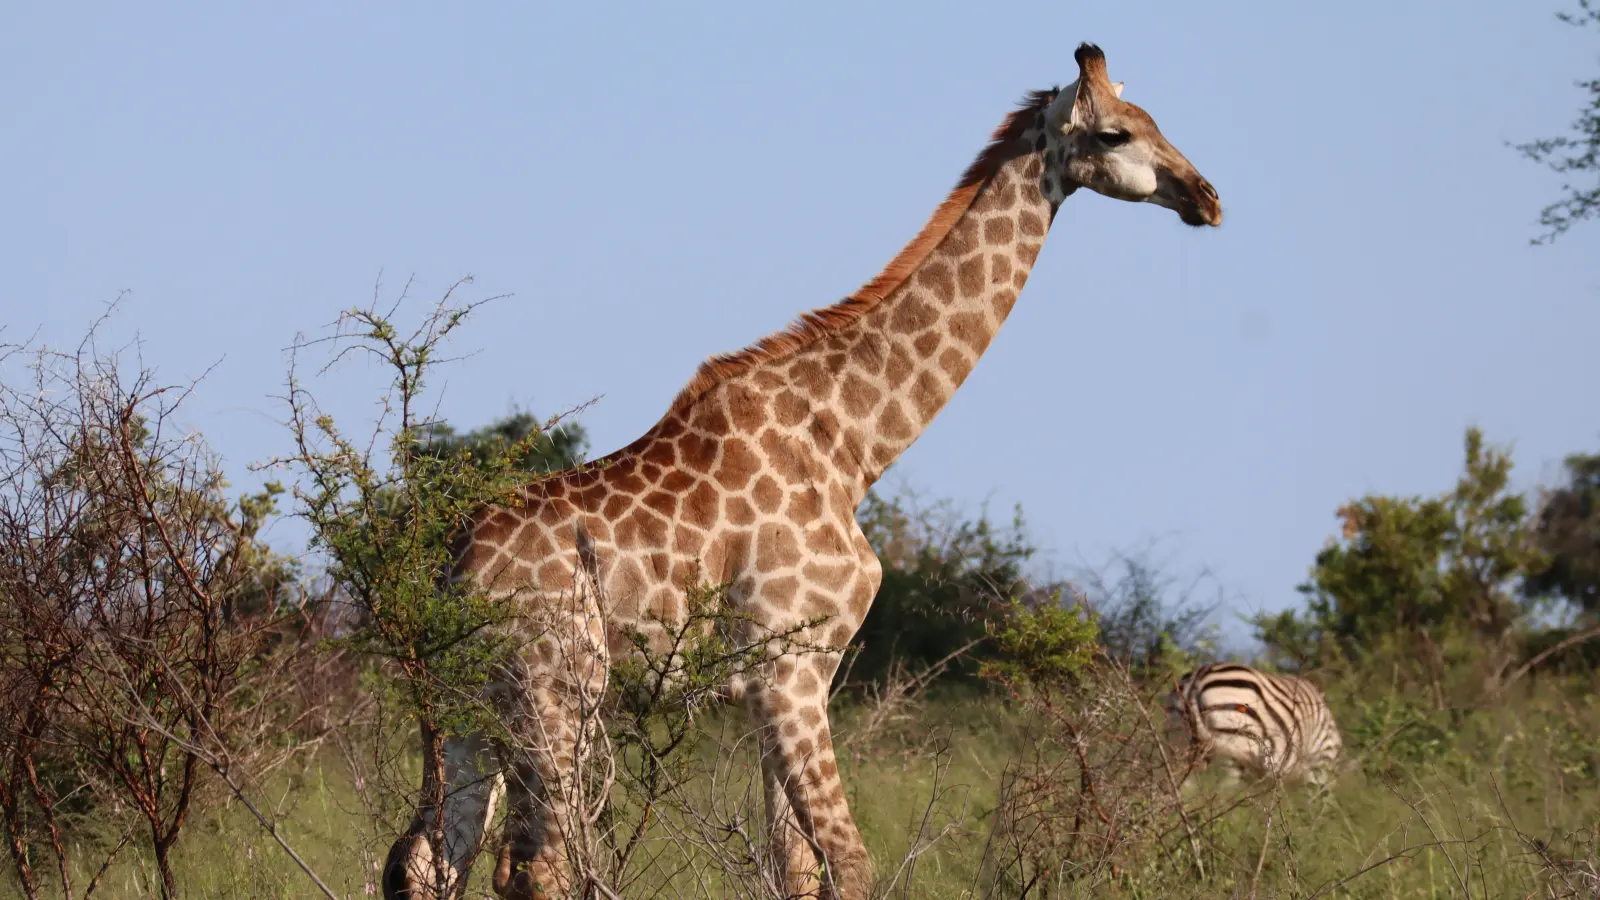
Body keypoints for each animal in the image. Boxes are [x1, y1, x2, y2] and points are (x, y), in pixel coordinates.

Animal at [384, 43, 1209, 896]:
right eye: (1115, 134)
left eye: (1155, 119)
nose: (1205, 197)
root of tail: (448, 572)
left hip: (465, 706)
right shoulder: (791, 667)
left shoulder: (783, 678)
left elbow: (793, 863)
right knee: (533, 864)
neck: (852, 444)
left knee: (426, 855)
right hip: (553, 691)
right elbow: (848, 858)